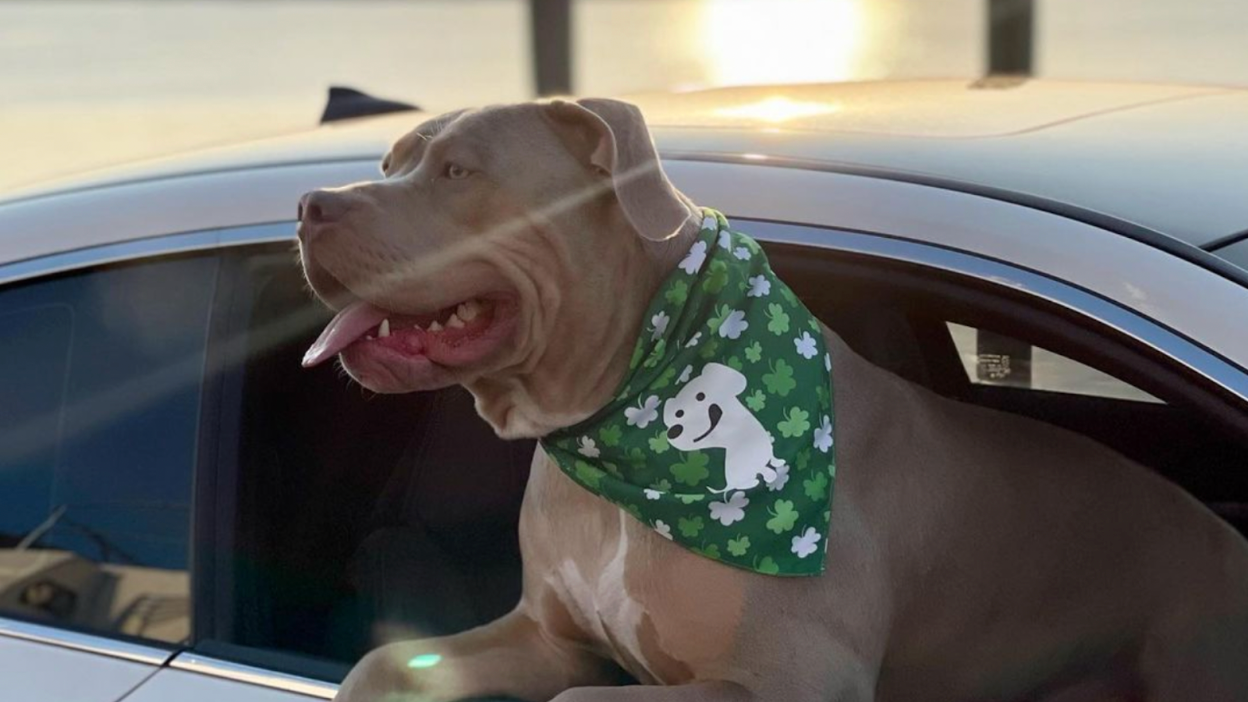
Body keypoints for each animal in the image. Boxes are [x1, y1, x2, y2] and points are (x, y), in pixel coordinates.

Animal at [663, 359, 778, 492]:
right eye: (678, 413)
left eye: (700, 396)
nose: (674, 431)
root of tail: (728, 484)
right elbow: (766, 470)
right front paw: (771, 476)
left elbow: (772, 457)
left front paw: (777, 462)